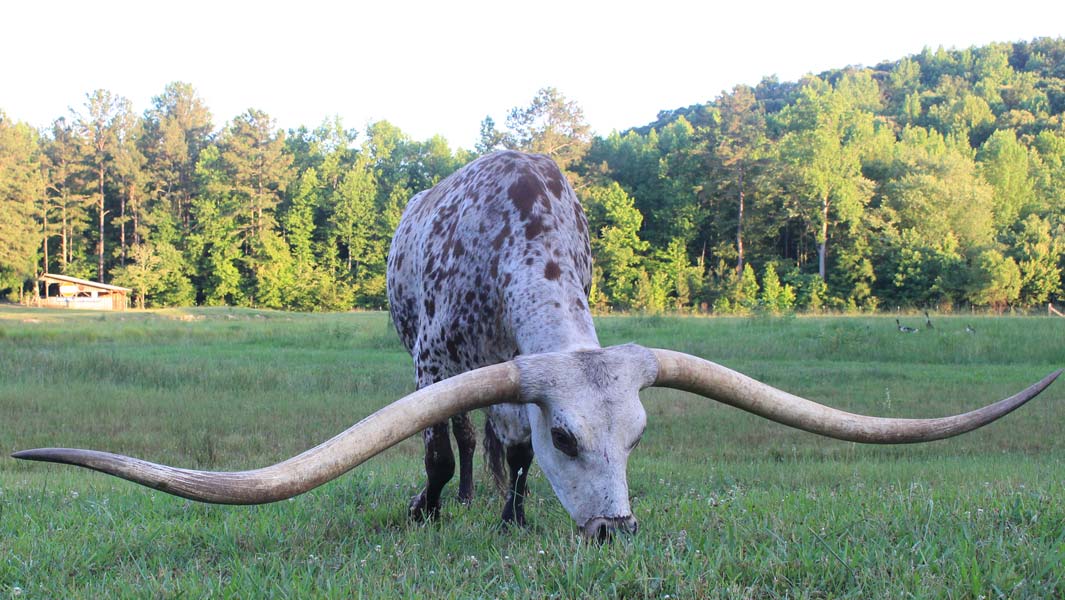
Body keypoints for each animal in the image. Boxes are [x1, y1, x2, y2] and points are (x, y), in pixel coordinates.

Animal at [14, 152, 1056, 541]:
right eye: (571, 438)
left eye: (636, 439)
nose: (615, 530)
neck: (521, 234)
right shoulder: (438, 360)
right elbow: (443, 445)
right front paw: (429, 508)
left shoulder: (514, 372)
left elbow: (506, 447)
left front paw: (515, 512)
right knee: (458, 437)